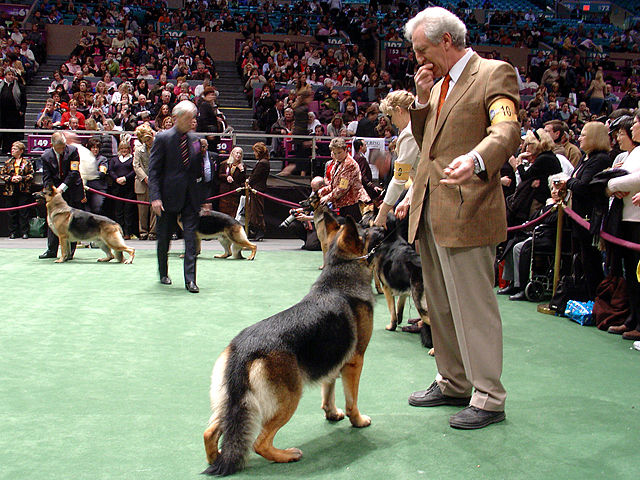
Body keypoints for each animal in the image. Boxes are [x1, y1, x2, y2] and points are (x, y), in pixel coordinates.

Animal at [202, 215, 376, 476]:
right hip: (289, 399)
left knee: (210, 433)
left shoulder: (331, 362)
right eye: (365, 231)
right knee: (260, 442)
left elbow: (329, 392)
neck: (339, 276)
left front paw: (332, 414)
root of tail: (242, 351)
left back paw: (218, 460)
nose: (377, 225)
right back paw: (286, 455)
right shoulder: (355, 362)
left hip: (229, 403)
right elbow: (351, 400)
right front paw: (358, 421)